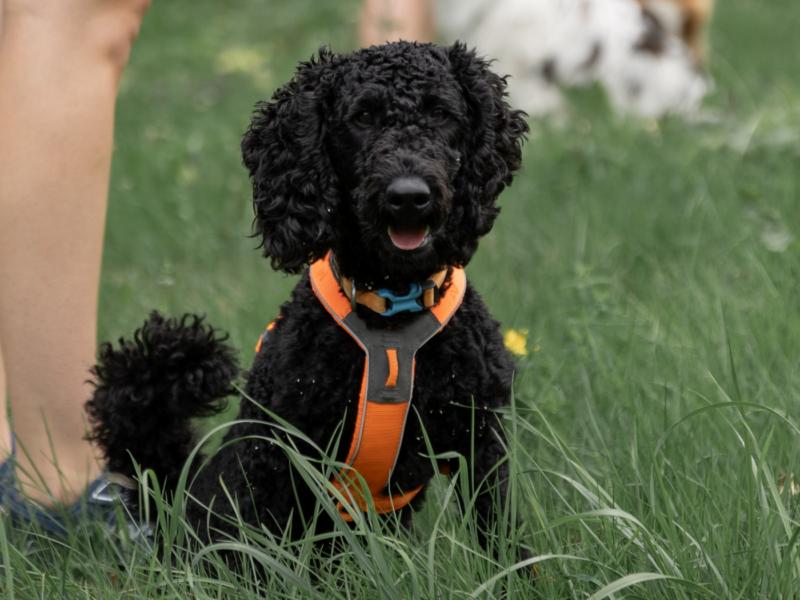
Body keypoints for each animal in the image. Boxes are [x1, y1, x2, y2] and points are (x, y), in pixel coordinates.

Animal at [87, 39, 528, 552]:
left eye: (440, 113)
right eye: (362, 117)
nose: (408, 196)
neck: (392, 310)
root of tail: (176, 507)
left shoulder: (480, 438)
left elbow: (500, 539)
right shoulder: (280, 459)